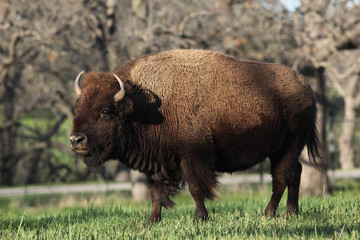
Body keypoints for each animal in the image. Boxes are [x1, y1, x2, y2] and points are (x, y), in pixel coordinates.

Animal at [69, 49, 320, 223]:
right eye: (77, 107)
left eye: (105, 111)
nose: (75, 140)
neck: (143, 105)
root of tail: (306, 87)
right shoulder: (157, 163)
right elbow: (156, 193)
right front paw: (150, 222)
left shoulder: (193, 158)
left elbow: (196, 189)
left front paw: (200, 218)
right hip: (284, 150)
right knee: (295, 172)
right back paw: (291, 212)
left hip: (288, 147)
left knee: (281, 177)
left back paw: (269, 213)